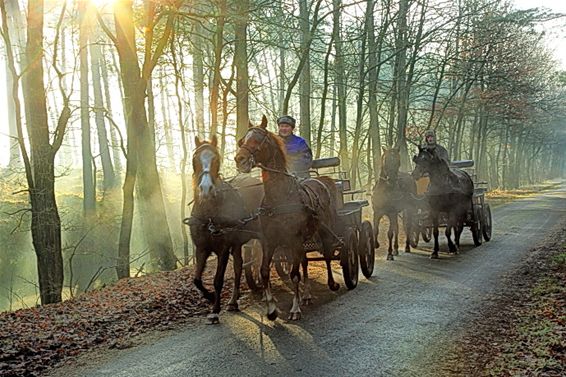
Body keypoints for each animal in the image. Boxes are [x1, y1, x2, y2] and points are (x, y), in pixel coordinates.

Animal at [236, 115, 342, 320]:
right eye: (243, 140)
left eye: (259, 139)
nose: (239, 159)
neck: (280, 198)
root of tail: (322, 182)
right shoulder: (269, 241)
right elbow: (264, 271)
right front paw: (271, 309)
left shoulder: (294, 240)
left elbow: (294, 274)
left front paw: (294, 308)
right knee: (305, 262)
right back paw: (307, 295)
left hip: (323, 231)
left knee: (326, 254)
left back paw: (332, 283)